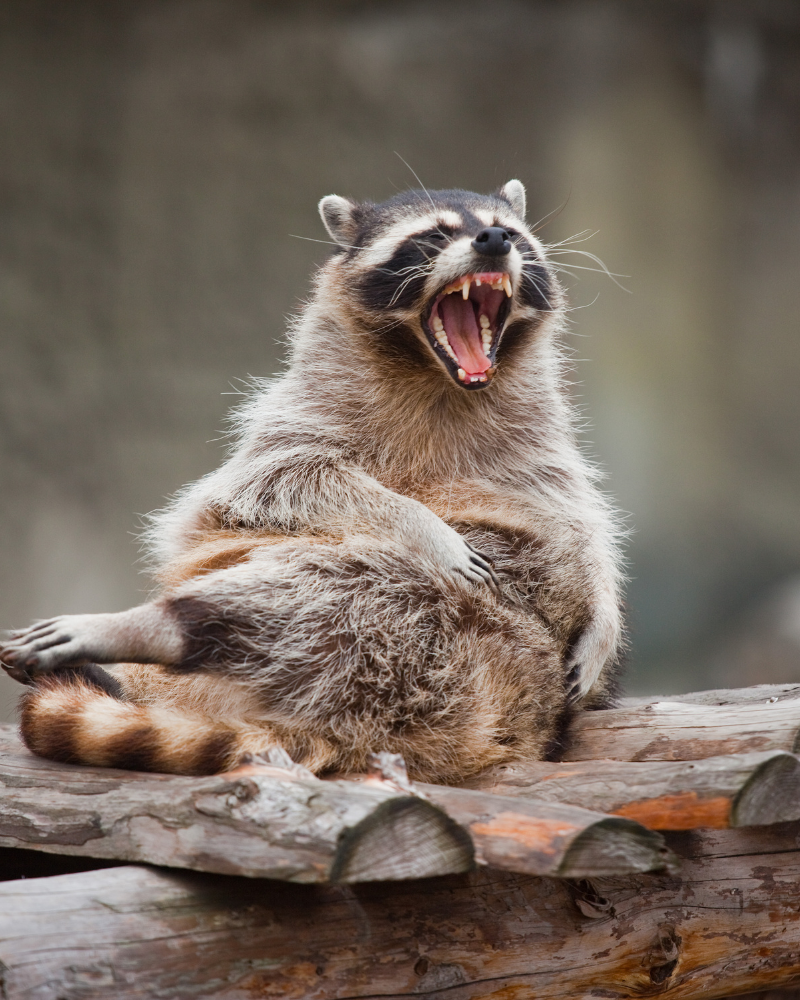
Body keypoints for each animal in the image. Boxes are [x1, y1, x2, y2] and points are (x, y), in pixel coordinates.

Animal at [0, 180, 624, 783]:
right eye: (434, 235)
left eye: (512, 233)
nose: (494, 240)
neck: (440, 379)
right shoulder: (300, 408)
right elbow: (286, 477)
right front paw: (420, 522)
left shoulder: (539, 437)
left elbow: (576, 519)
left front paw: (604, 611)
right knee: (322, 584)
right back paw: (160, 625)